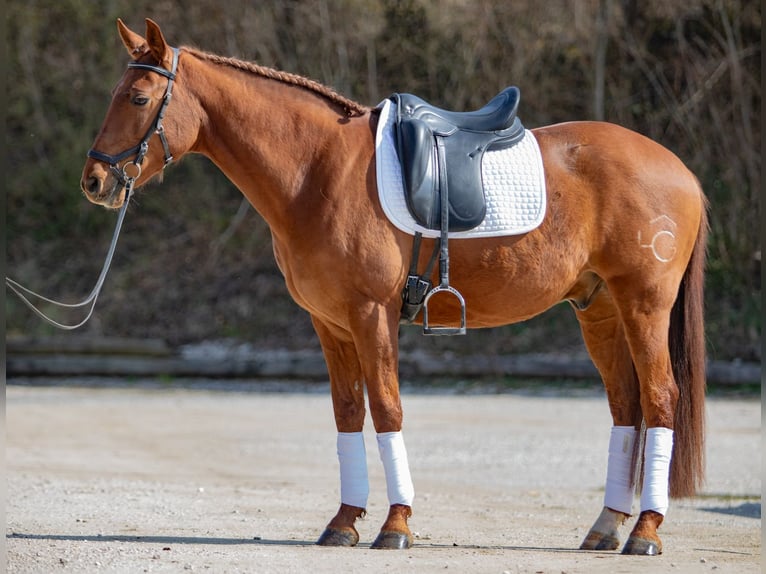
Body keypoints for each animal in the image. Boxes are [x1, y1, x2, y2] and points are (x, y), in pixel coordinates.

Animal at [81, 19, 707, 555]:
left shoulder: (370, 314)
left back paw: (646, 531)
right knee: (626, 404)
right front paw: (343, 522)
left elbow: (385, 407)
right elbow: (346, 412)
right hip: (597, 309)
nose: (95, 181)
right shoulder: (329, 323)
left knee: (660, 398)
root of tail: (680, 169)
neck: (316, 170)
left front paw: (396, 525)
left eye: (138, 99)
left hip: (643, 306)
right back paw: (606, 528)